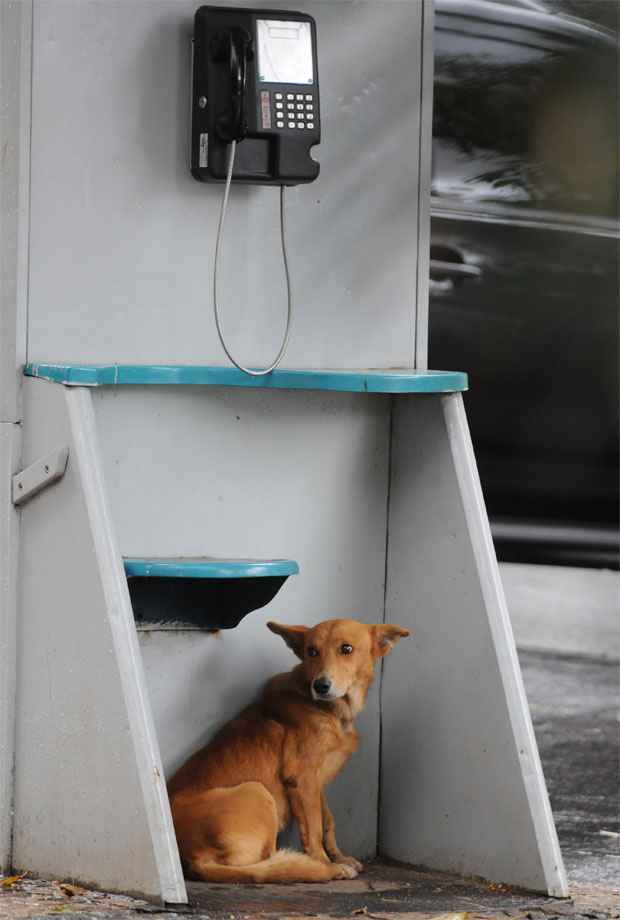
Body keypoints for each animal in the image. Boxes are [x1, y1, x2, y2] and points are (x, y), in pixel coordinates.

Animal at [167, 620, 410, 884]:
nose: (320, 686)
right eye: (312, 651)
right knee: (265, 864)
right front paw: (326, 863)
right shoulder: (301, 779)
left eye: (346, 648)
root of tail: (192, 860)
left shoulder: (316, 782)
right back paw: (311, 867)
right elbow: (313, 829)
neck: (327, 709)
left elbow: (328, 821)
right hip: (257, 791)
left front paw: (339, 857)